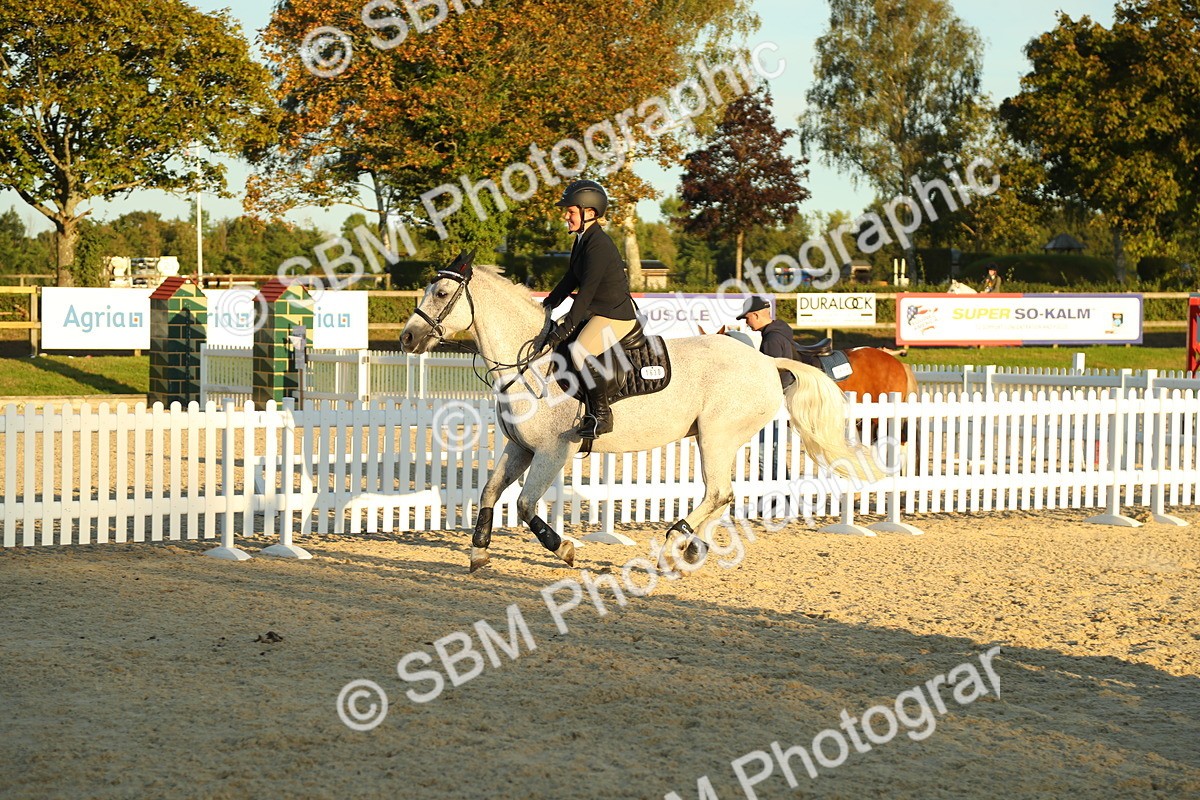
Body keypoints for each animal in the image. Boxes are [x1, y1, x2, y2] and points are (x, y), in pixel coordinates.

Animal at [399, 255, 878, 573]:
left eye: (441, 293)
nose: (407, 338)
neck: (530, 363)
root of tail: (765, 362)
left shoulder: (553, 452)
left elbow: (524, 504)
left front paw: (565, 549)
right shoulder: (520, 449)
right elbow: (489, 493)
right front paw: (479, 551)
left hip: (716, 436)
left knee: (718, 493)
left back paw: (674, 544)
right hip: (717, 439)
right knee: (722, 496)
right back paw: (692, 549)